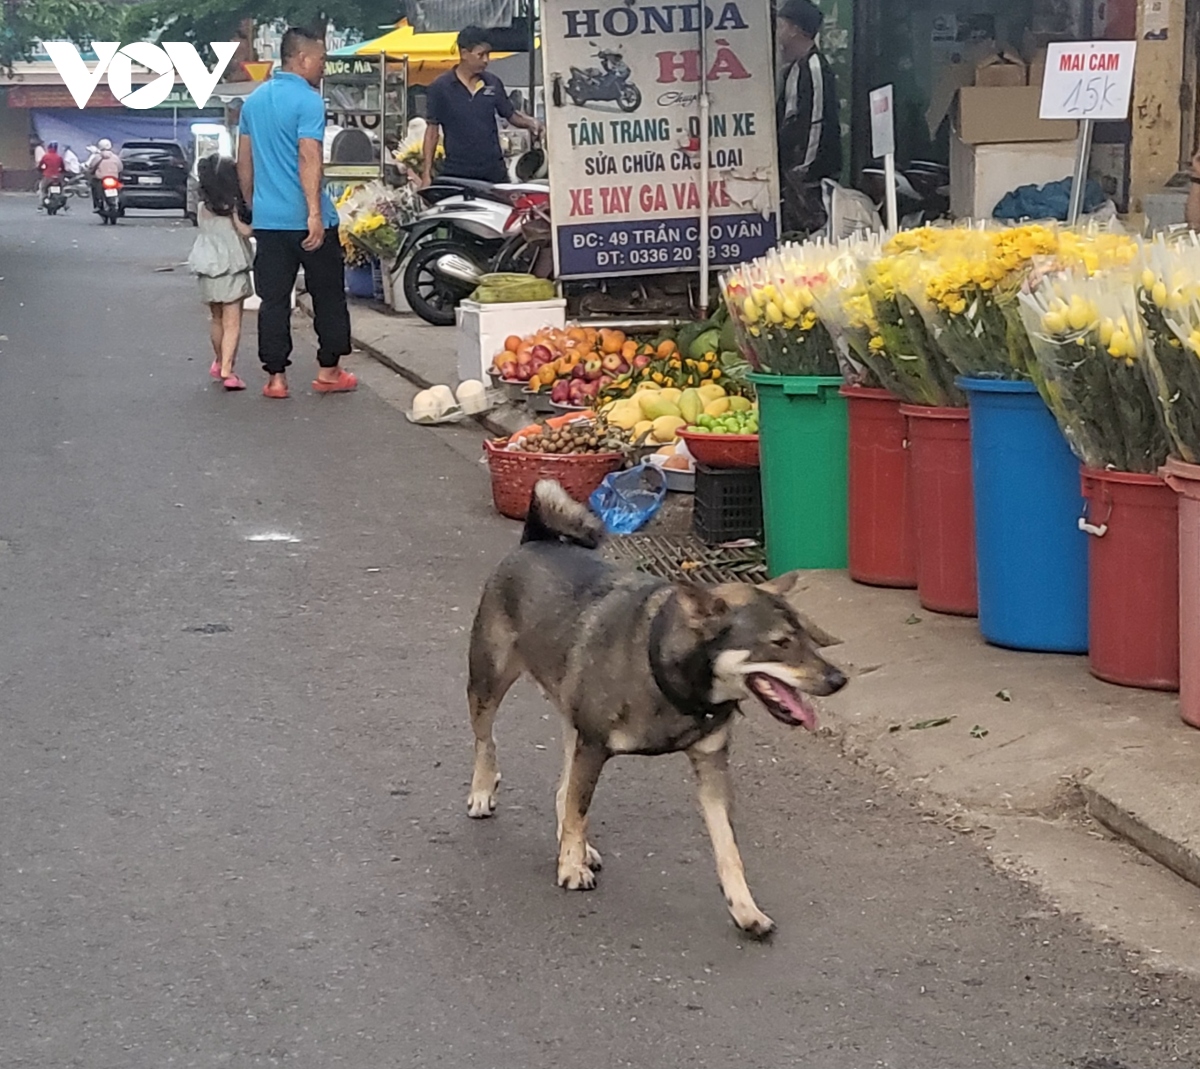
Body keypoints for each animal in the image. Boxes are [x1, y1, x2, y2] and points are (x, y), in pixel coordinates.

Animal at [463, 479, 849, 931]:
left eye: (806, 635)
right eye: (781, 643)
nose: (839, 680)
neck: (674, 677)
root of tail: (535, 539)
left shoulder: (710, 766)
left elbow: (728, 848)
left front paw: (745, 907)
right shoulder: (593, 746)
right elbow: (579, 805)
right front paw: (570, 866)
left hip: (570, 721)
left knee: (562, 789)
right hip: (488, 683)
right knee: (487, 742)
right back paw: (484, 792)